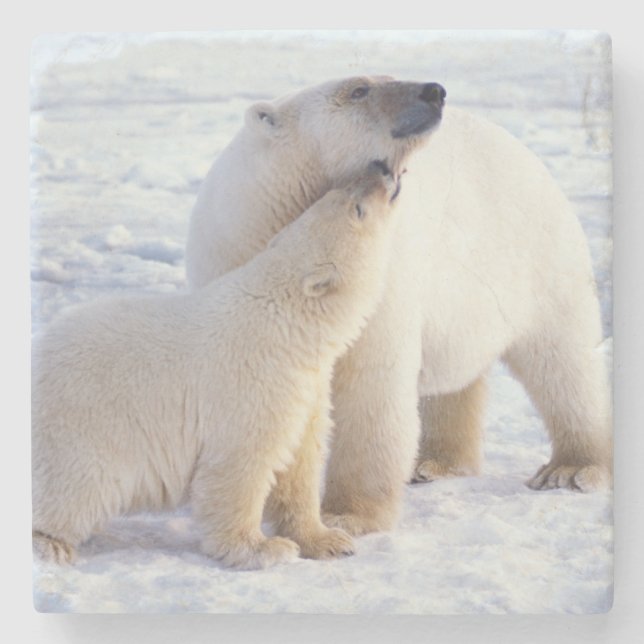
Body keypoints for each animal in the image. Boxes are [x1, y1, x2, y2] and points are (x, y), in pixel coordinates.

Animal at [32, 163, 401, 569]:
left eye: (336, 194)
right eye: (356, 208)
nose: (382, 168)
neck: (286, 322)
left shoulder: (304, 387)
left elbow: (299, 462)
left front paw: (328, 540)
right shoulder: (253, 383)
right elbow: (240, 466)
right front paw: (263, 548)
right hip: (81, 431)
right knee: (77, 488)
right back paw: (50, 543)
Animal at [185, 75, 612, 537]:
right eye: (358, 90)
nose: (434, 90)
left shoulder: (377, 276)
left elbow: (371, 383)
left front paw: (347, 514)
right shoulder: (233, 262)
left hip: (539, 259)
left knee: (564, 362)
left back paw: (572, 469)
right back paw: (435, 461)